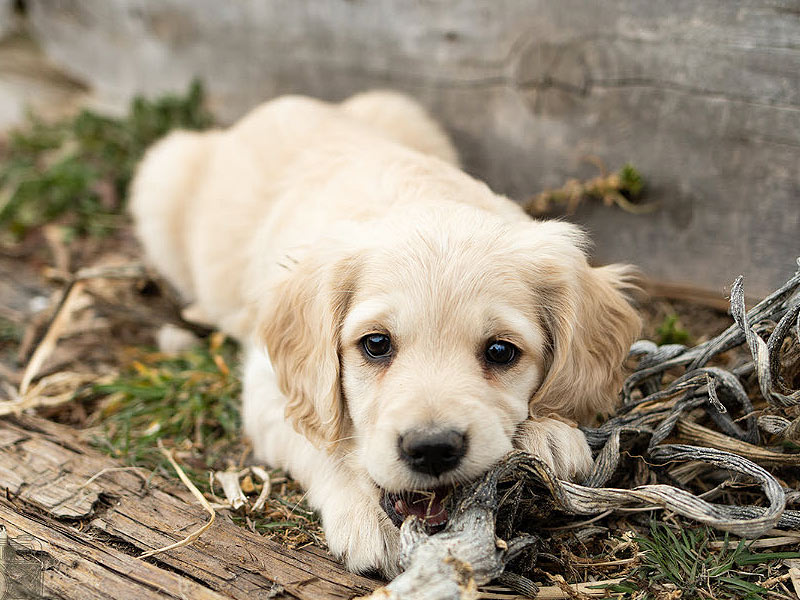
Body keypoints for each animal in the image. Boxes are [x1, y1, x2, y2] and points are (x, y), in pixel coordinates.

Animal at [131, 90, 644, 576]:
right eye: (376, 344)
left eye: (501, 351)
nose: (432, 450)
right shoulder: (268, 384)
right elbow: (319, 440)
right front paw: (366, 513)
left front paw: (551, 431)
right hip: (160, 178)